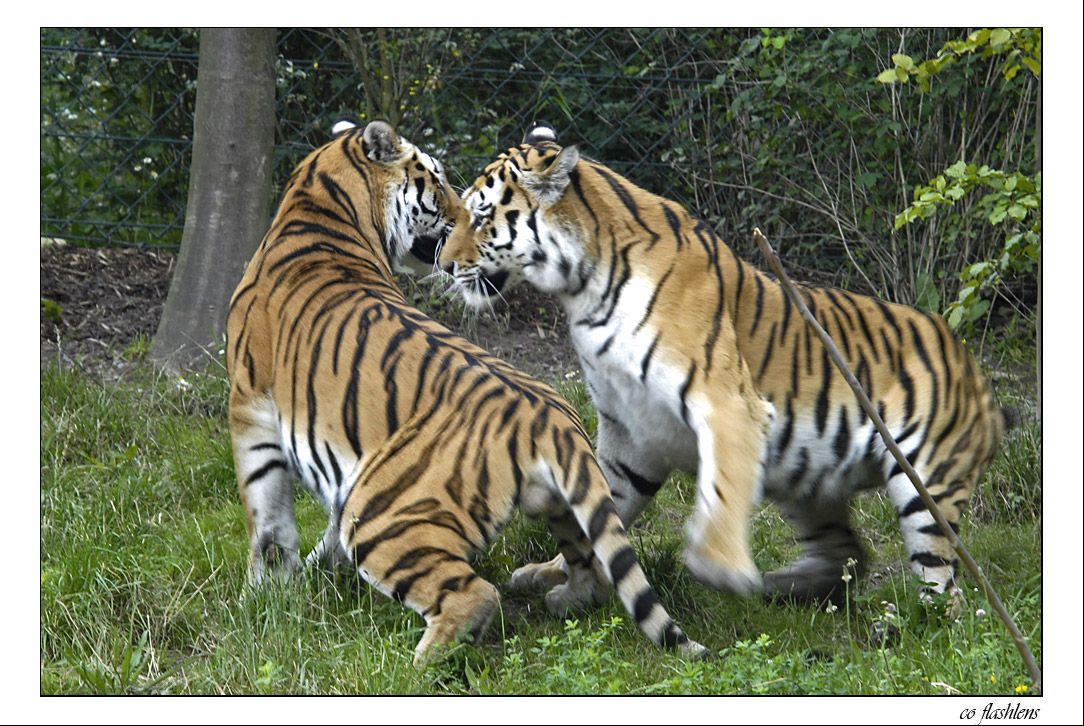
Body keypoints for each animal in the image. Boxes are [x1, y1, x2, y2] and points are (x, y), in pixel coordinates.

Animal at [224, 119, 706, 666]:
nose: (459, 223)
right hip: (565, 505)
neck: (317, 202)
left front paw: (264, 592)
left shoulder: (249, 407)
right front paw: (310, 573)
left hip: (381, 514)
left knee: (474, 593)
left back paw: (417, 667)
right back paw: (561, 599)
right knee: (596, 570)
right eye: (436, 181)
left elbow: (266, 513)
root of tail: (548, 414)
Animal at [437, 122, 1006, 607]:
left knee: (946, 591)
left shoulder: (727, 403)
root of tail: (969, 363)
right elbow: (599, 510)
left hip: (923, 483)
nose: (442, 262)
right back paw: (778, 587)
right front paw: (565, 578)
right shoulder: (628, 429)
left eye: (482, 216)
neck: (581, 291)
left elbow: (721, 489)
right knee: (847, 555)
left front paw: (716, 567)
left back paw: (903, 621)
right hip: (806, 479)